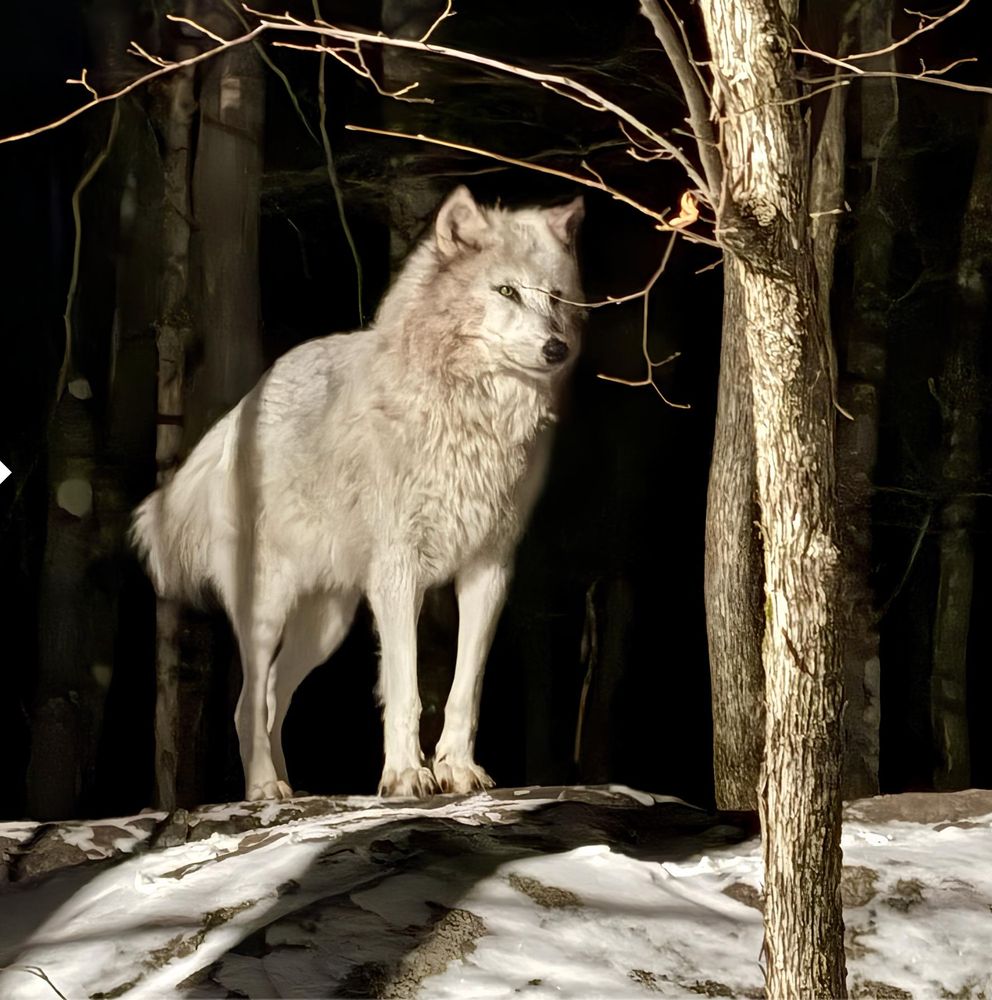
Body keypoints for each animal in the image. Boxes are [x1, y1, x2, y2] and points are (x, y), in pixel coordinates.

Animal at [131, 186, 584, 800]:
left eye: (556, 297)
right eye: (507, 290)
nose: (557, 348)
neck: (471, 418)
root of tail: (244, 408)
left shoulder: (488, 571)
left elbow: (464, 690)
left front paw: (457, 770)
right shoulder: (398, 573)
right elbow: (407, 691)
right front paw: (405, 776)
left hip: (327, 625)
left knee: (272, 696)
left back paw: (291, 785)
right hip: (267, 607)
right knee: (248, 701)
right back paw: (265, 789)